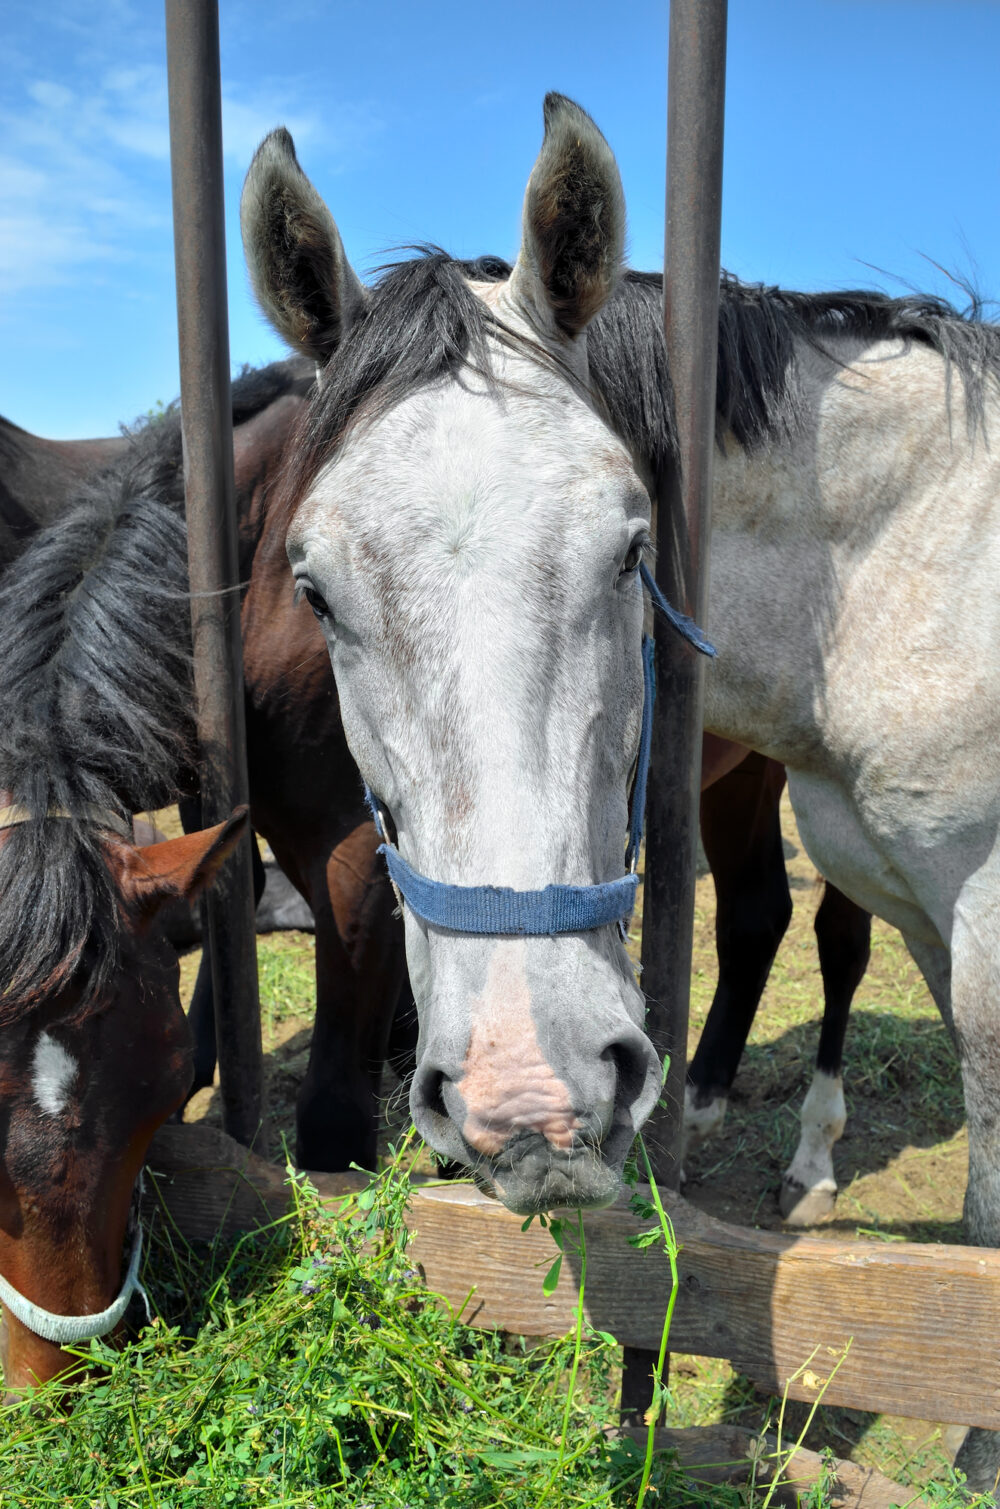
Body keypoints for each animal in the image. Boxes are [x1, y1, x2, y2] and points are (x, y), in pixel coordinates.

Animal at [241, 97, 1000, 1491]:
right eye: (313, 588)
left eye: (630, 551)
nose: (530, 1103)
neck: (922, 569)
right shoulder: (936, 919)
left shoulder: (981, 918)